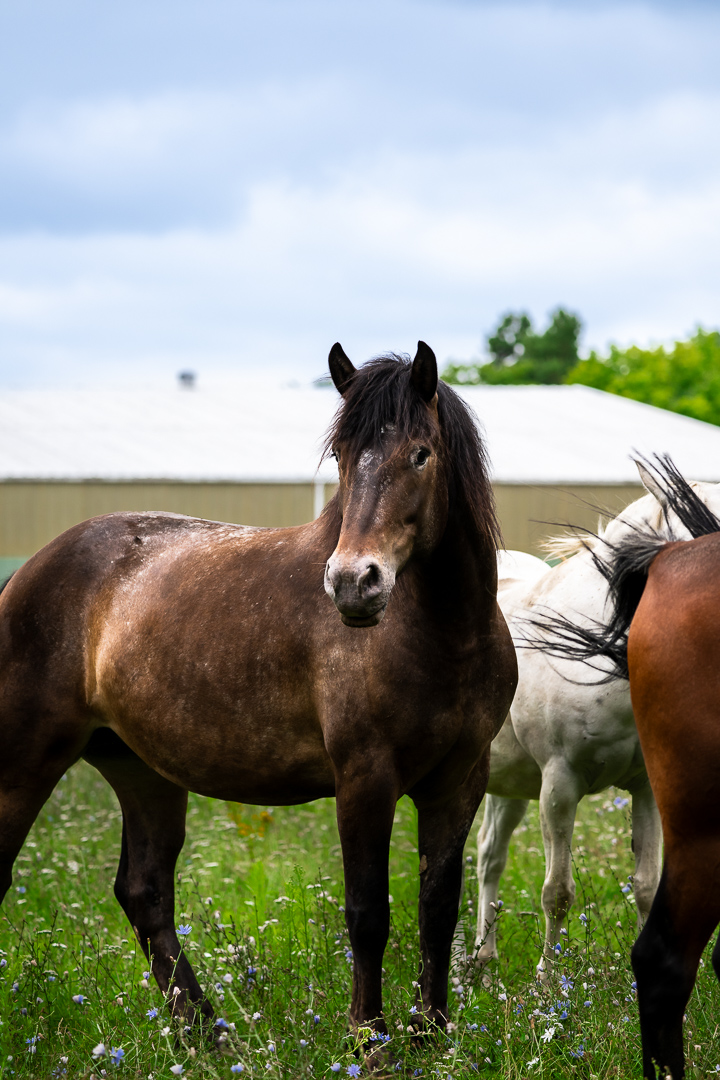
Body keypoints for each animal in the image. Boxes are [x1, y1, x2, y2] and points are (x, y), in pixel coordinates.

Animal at [0, 343, 517, 1051]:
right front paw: (369, 1040)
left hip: (142, 772)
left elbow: (438, 907)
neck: (446, 634)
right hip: (24, 762)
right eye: (343, 456)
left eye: (420, 454)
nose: (353, 583)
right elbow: (368, 912)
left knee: (145, 892)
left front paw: (431, 1034)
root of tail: (26, 573)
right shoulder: (365, 778)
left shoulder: (461, 780)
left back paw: (207, 1033)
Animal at [474, 464, 720, 978]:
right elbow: (557, 893)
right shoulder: (559, 784)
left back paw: (481, 962)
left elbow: (646, 884)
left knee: (490, 855)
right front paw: (547, 981)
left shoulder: (646, 786)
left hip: (509, 786)